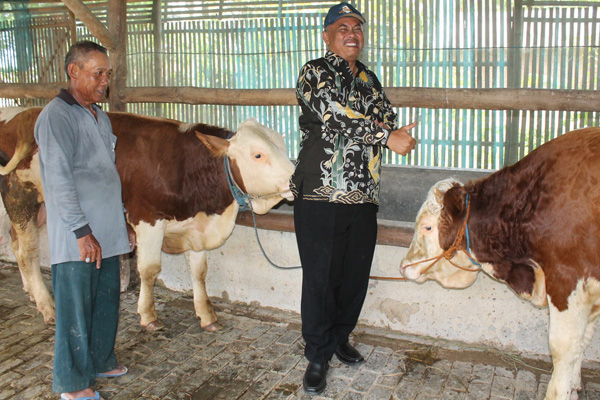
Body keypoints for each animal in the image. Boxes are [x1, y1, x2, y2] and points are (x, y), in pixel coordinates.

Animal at [0, 106, 296, 332]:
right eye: (258, 154)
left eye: (282, 146)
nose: (295, 179)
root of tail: (18, 114)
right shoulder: (147, 220)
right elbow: (149, 270)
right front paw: (148, 314)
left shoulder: (195, 227)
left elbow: (199, 272)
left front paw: (207, 315)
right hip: (21, 199)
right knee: (27, 253)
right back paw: (47, 306)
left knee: (15, 245)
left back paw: (31, 293)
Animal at [398, 127, 600, 400]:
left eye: (427, 227)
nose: (403, 265)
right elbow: (583, 341)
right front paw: (574, 384)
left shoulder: (567, 279)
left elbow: (564, 348)